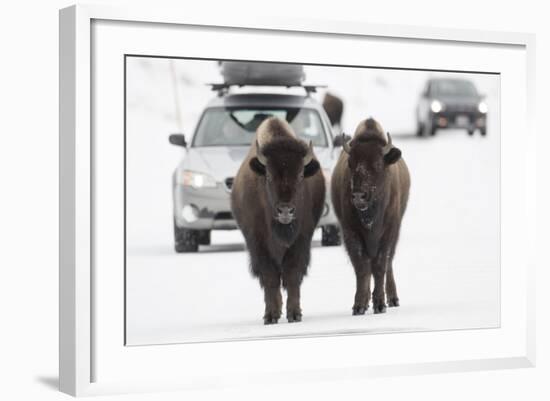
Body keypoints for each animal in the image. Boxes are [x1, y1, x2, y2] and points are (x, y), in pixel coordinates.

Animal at [230, 117, 326, 324]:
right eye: (268, 175)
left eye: (300, 175)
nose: (285, 210)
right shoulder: (257, 243)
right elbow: (270, 277)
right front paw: (271, 315)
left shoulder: (301, 240)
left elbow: (292, 274)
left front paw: (294, 314)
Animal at [332, 117, 410, 314]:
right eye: (351, 164)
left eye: (377, 164)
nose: (359, 196)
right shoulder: (350, 232)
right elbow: (362, 266)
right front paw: (359, 305)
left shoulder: (389, 231)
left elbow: (380, 265)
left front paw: (380, 304)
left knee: (388, 264)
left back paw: (392, 299)